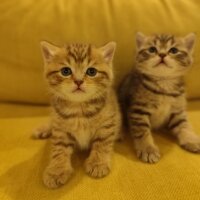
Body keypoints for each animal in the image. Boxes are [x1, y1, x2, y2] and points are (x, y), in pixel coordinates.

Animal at [35, 41, 121, 188]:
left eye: (91, 71)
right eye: (65, 71)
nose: (79, 81)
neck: (79, 109)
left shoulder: (108, 122)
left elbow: (102, 143)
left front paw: (98, 163)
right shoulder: (60, 129)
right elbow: (59, 149)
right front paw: (56, 170)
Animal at [119, 32, 199, 163]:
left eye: (174, 50)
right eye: (152, 49)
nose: (162, 54)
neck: (164, 85)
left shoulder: (177, 111)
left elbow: (184, 125)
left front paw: (191, 139)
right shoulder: (138, 110)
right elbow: (142, 131)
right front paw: (148, 149)